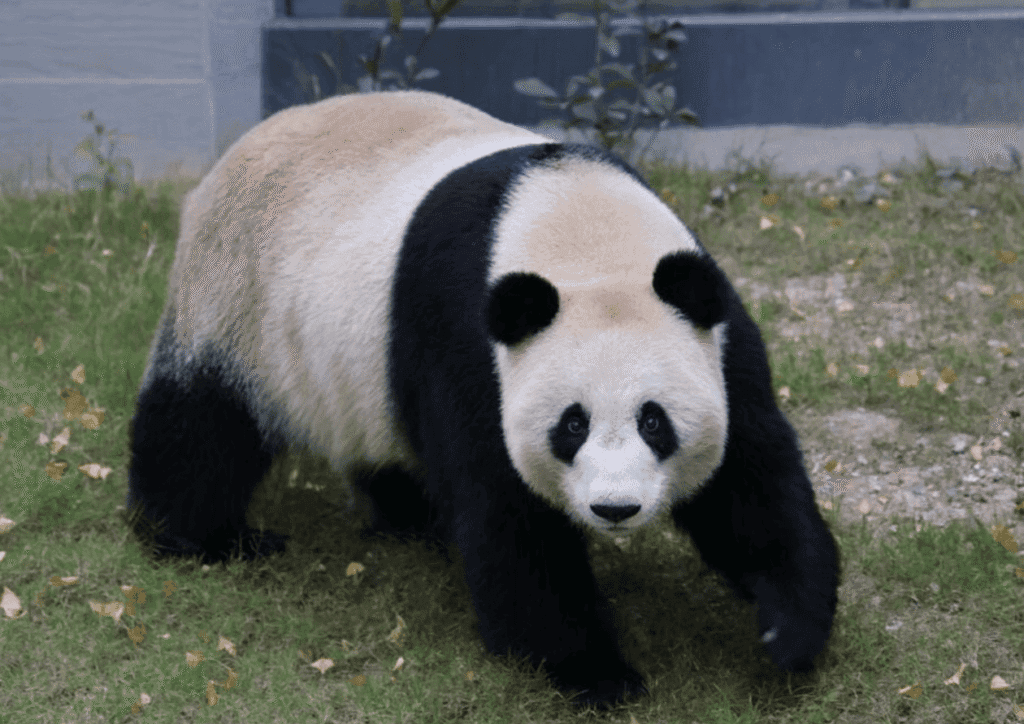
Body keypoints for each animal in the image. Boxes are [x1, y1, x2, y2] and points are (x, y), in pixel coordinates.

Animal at [127, 89, 839, 706]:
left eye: (655, 422)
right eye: (572, 425)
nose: (614, 508)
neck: (581, 231)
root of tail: (231, 155)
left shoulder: (716, 335)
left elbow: (750, 483)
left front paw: (787, 631)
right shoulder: (469, 344)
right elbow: (508, 519)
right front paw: (599, 674)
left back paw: (409, 518)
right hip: (236, 297)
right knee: (202, 423)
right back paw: (204, 538)